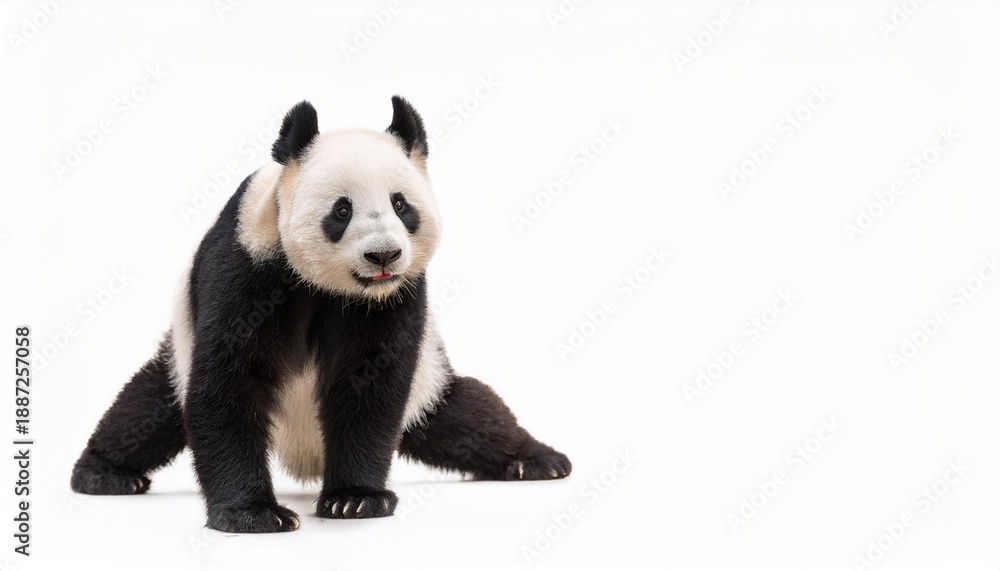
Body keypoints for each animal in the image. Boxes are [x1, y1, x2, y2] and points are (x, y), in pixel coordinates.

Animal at [70, 96, 571, 533]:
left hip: (429, 385)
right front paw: (253, 514)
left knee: (469, 418)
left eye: (401, 204)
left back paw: (537, 461)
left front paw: (354, 499)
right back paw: (104, 473)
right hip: (179, 349)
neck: (332, 287)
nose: (383, 255)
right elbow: (228, 382)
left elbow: (370, 385)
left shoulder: (396, 297)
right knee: (145, 411)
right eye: (342, 210)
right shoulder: (249, 267)